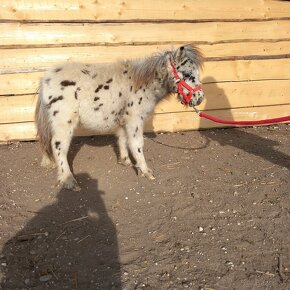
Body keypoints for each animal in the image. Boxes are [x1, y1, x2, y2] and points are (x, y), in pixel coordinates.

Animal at [35, 44, 204, 190]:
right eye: (187, 74)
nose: (200, 98)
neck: (142, 83)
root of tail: (46, 79)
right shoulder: (135, 119)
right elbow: (137, 144)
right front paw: (145, 171)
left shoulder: (124, 120)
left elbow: (122, 139)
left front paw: (126, 161)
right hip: (64, 122)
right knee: (58, 145)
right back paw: (68, 180)